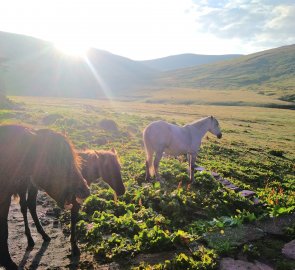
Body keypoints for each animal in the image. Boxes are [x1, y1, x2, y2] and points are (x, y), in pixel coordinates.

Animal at [0, 125, 90, 268]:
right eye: (58, 161)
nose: (86, 190)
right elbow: (4, 230)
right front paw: (7, 262)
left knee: (28, 205)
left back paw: (38, 238)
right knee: (26, 206)